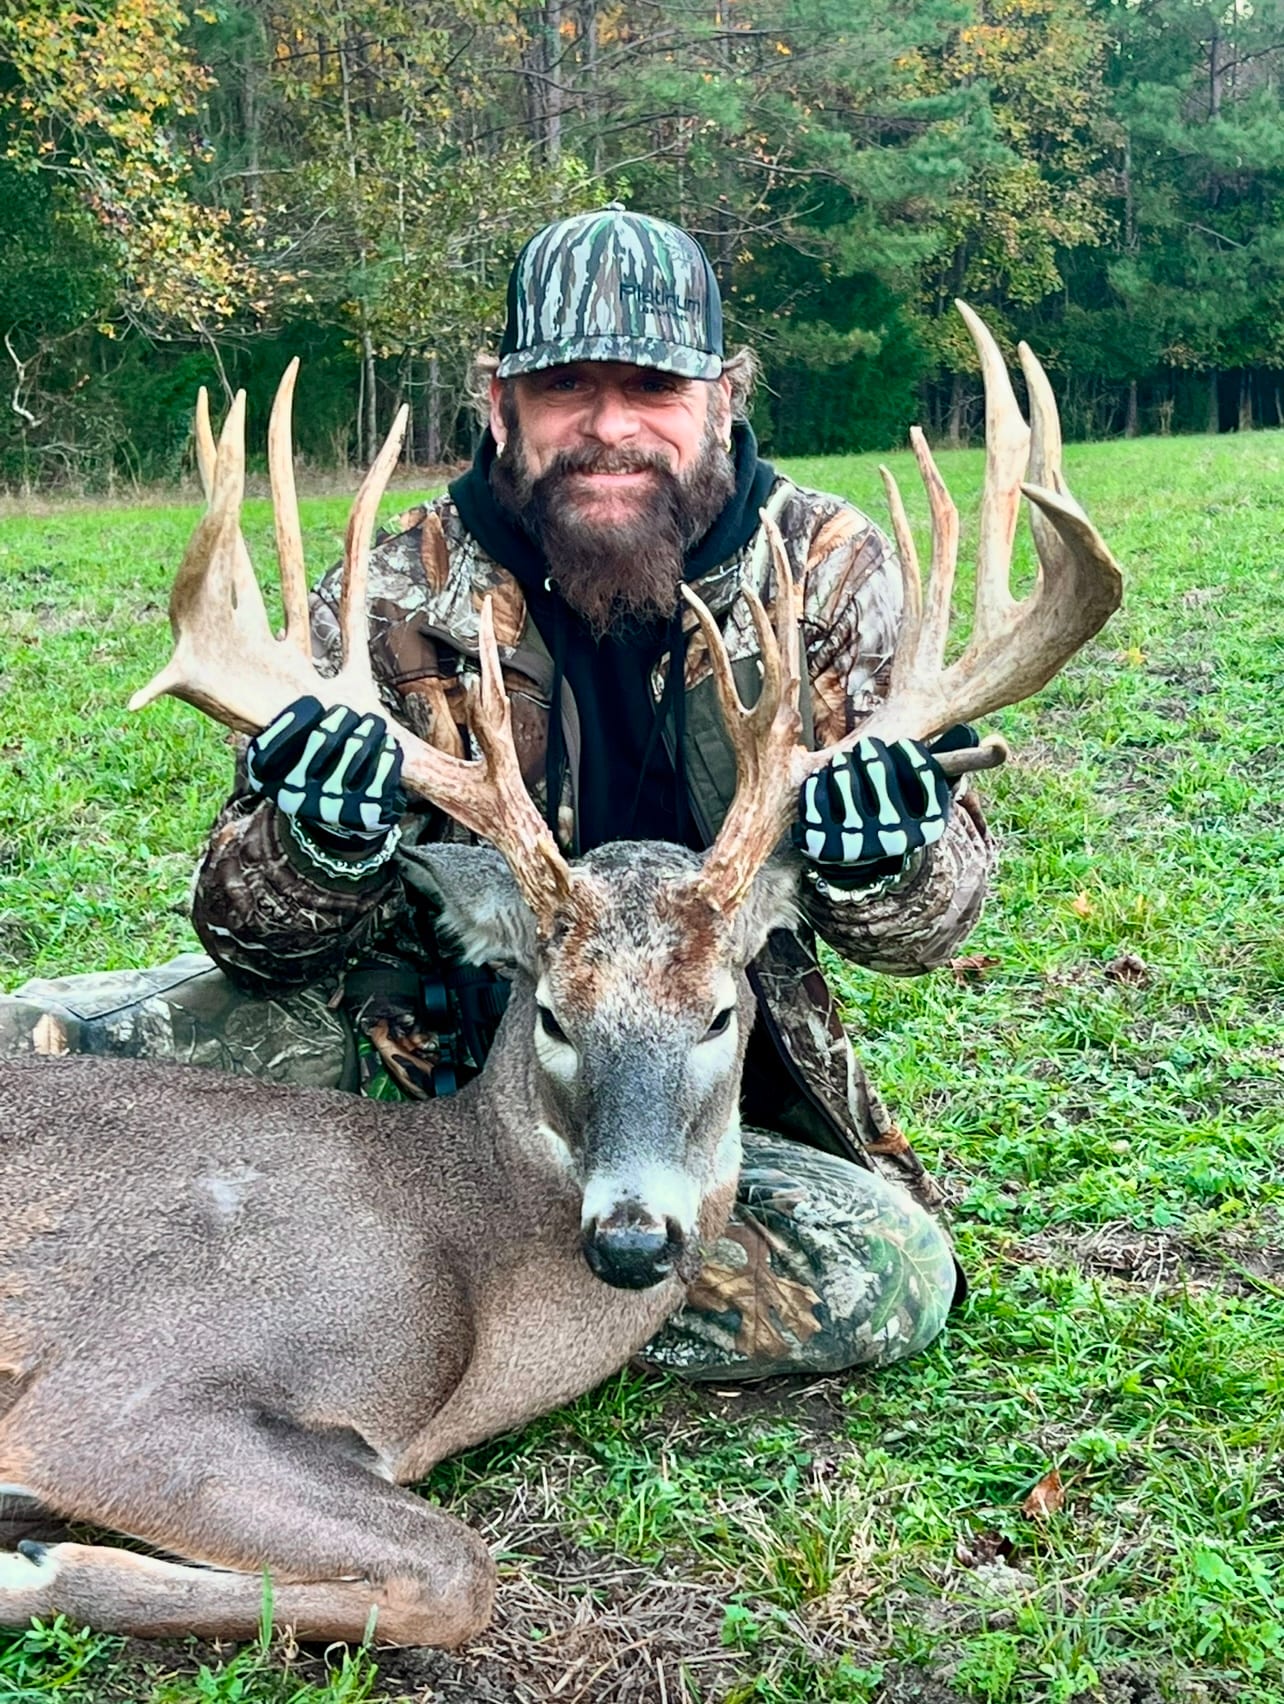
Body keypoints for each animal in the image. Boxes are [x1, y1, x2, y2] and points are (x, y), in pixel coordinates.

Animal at [0, 304, 1121, 1649]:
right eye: (550, 1012)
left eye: (721, 1013)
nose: (634, 1238)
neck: (467, 1273)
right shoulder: (122, 1386)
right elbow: (456, 1570)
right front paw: (33, 1564)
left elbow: (443, 1569)